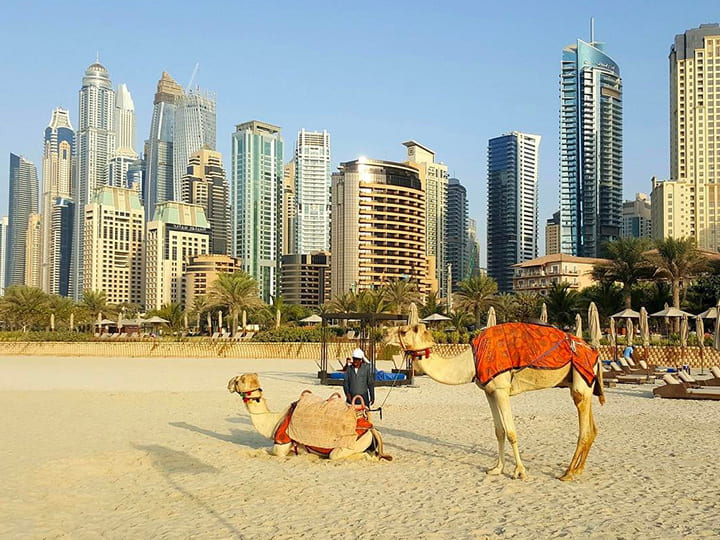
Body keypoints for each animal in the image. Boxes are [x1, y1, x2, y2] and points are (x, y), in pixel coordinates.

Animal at [228, 376, 390, 460]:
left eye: (239, 381)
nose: (229, 383)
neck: (275, 422)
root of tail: (371, 428)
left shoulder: (281, 445)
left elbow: (269, 451)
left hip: (352, 443)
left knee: (340, 455)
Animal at [386, 320, 604, 480]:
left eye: (403, 331)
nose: (386, 332)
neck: (472, 361)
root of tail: (594, 352)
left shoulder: (501, 389)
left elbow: (511, 432)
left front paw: (520, 472)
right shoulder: (489, 392)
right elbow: (499, 431)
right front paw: (496, 469)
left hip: (580, 380)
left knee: (584, 428)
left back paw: (568, 473)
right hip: (582, 383)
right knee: (592, 428)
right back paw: (578, 469)